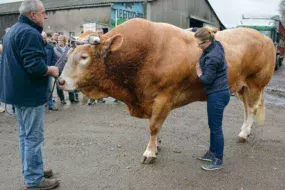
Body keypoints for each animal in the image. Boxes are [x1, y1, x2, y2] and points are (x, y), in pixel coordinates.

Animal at [58, 18, 274, 163]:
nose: (60, 81)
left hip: (255, 84)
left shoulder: (164, 96)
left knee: (252, 108)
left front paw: (149, 151)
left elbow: (154, 125)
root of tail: (264, 37)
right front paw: (157, 144)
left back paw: (244, 133)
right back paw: (245, 130)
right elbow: (157, 124)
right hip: (242, 86)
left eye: (84, 57)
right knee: (246, 109)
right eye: (71, 52)